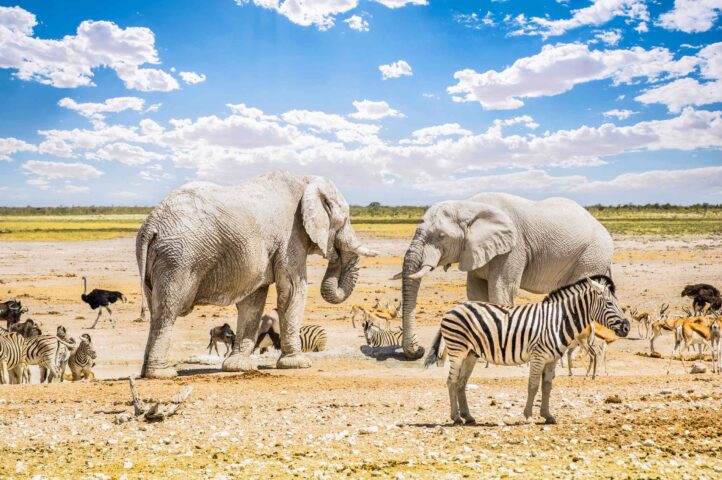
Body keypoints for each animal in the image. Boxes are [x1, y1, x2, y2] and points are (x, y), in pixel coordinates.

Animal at [134, 171, 376, 376]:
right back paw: (162, 374)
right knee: (168, 310)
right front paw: (297, 364)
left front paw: (237, 367)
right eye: (345, 220)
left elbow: (253, 300)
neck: (306, 180)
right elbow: (292, 290)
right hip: (178, 259)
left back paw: (146, 373)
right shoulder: (290, 237)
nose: (334, 253)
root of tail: (150, 225)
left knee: (156, 311)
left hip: (157, 260)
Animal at [396, 193, 612, 358]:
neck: (469, 206)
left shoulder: (513, 248)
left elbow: (500, 289)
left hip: (592, 255)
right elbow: (476, 292)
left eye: (441, 236)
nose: (419, 350)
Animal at [424, 276, 628, 426]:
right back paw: (456, 418)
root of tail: (453, 308)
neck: (557, 321)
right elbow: (533, 386)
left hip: (470, 354)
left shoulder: (552, 359)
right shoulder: (538, 356)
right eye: (609, 304)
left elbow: (547, 387)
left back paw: (468, 417)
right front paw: (529, 416)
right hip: (457, 349)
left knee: (461, 383)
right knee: (451, 382)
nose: (627, 327)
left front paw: (547, 415)